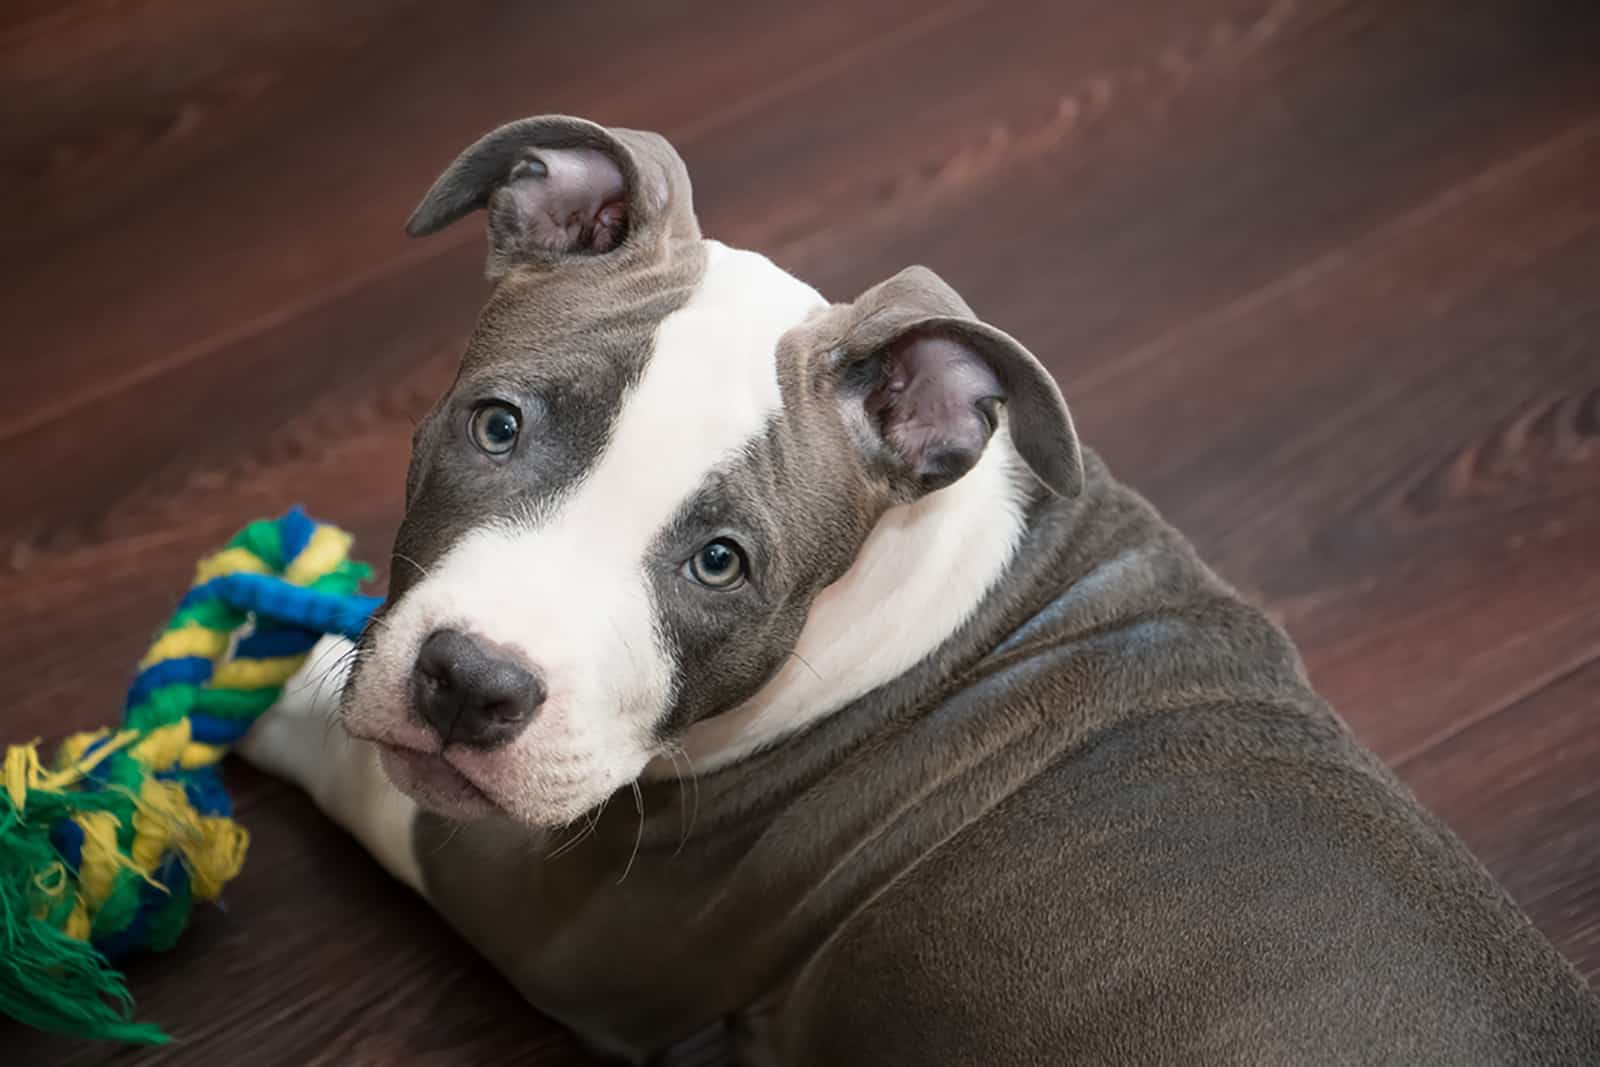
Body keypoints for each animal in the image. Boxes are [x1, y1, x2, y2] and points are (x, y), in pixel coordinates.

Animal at [236, 116, 1600, 1067]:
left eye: (720, 562)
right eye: (499, 424)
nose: (469, 684)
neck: (913, 594)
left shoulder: (556, 911)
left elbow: (356, 762)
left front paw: (267, 666)